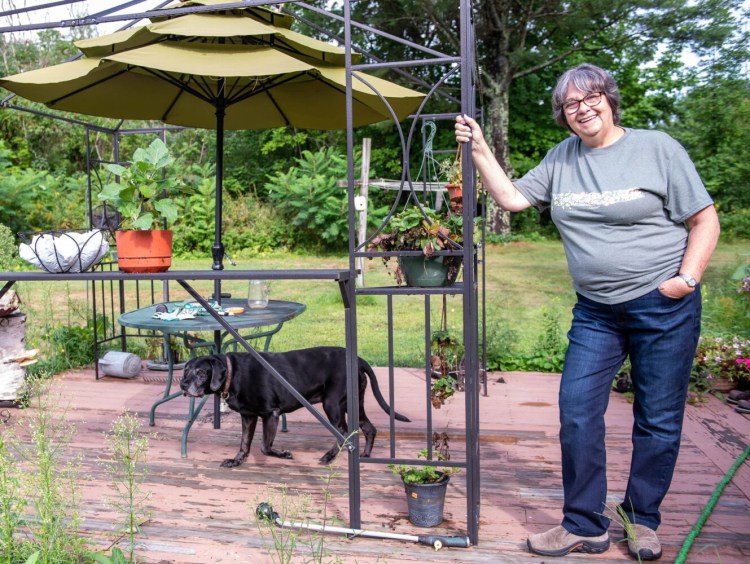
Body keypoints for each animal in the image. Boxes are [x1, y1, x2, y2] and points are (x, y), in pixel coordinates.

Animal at [179, 346, 412, 470]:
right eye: (186, 370)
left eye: (201, 373)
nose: (182, 384)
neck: (232, 372)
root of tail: (358, 359)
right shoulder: (248, 416)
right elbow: (244, 443)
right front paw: (236, 461)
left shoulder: (270, 414)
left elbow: (264, 446)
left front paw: (284, 454)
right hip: (353, 403)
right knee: (368, 428)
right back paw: (365, 454)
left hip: (333, 404)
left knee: (345, 432)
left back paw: (329, 457)